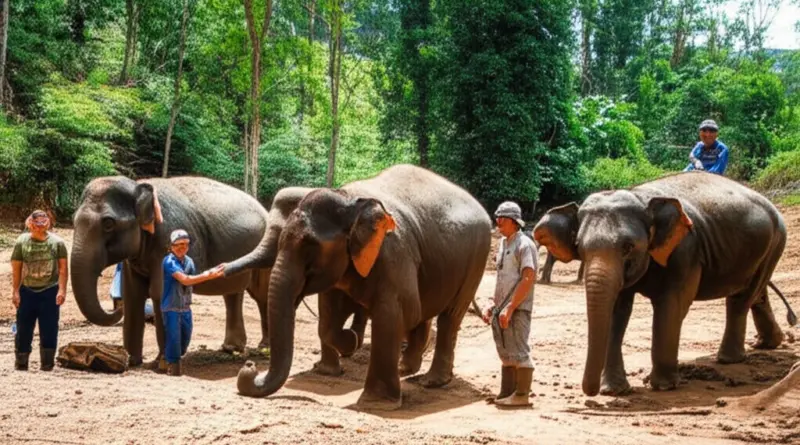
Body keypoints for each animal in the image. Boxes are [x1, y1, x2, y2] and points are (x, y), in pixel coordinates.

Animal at [71, 176, 277, 366]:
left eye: (108, 223)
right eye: (73, 221)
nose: (115, 307)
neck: (138, 185)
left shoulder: (166, 236)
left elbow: (160, 291)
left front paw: (162, 363)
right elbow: (133, 294)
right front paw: (131, 361)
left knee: (262, 294)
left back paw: (264, 348)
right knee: (233, 293)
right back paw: (231, 348)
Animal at [228, 164, 492, 410]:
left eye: (310, 247)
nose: (250, 366)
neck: (349, 200)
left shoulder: (394, 253)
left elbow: (396, 312)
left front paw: (376, 404)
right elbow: (328, 315)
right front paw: (350, 341)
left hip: (477, 258)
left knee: (450, 316)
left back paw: (432, 381)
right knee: (426, 310)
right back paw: (406, 368)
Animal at [533, 171, 787, 397]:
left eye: (628, 247)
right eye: (580, 248)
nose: (591, 392)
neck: (639, 196)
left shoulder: (685, 251)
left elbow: (671, 305)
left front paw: (664, 386)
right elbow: (617, 311)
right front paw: (614, 390)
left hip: (775, 241)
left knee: (741, 298)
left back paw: (729, 359)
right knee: (756, 292)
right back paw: (767, 343)